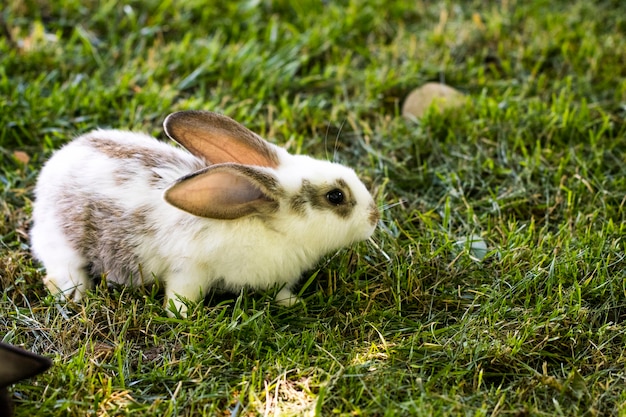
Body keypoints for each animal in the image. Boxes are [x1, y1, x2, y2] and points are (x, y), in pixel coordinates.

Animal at [29, 110, 378, 316]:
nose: (374, 217)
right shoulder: (190, 268)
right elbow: (181, 293)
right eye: (336, 196)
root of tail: (54, 167)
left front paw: (293, 302)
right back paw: (75, 294)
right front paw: (181, 315)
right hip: (62, 244)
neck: (269, 227)